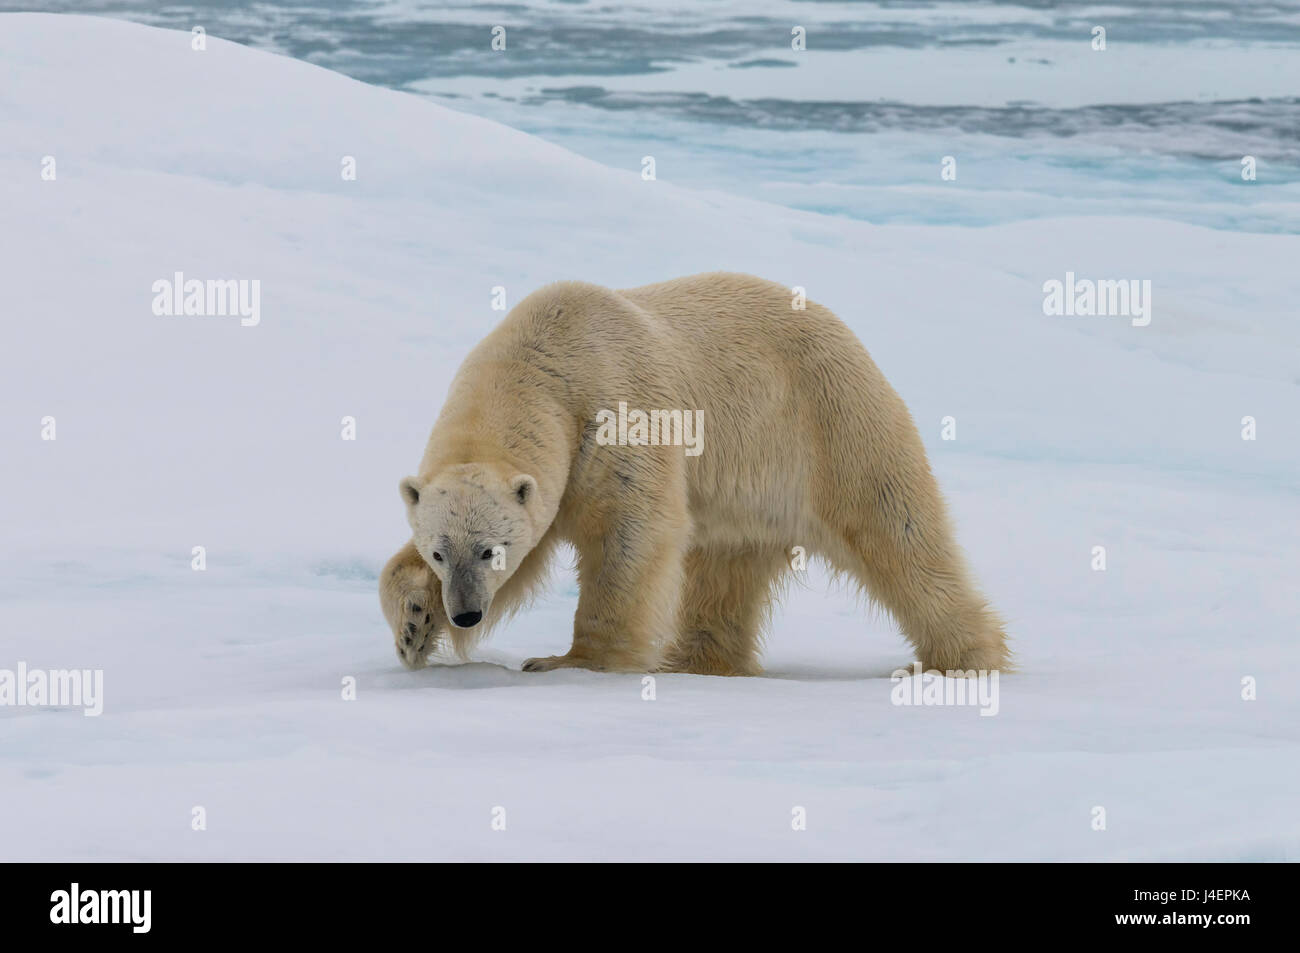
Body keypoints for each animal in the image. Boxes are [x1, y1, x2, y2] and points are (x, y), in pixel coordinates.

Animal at [379, 271, 1008, 670]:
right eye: (439, 552)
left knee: (898, 533)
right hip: (747, 490)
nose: (465, 614)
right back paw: (700, 660)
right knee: (724, 568)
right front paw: (413, 626)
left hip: (832, 422)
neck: (543, 361)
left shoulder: (616, 416)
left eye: (490, 549)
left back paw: (961, 660)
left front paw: (571, 661)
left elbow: (631, 532)